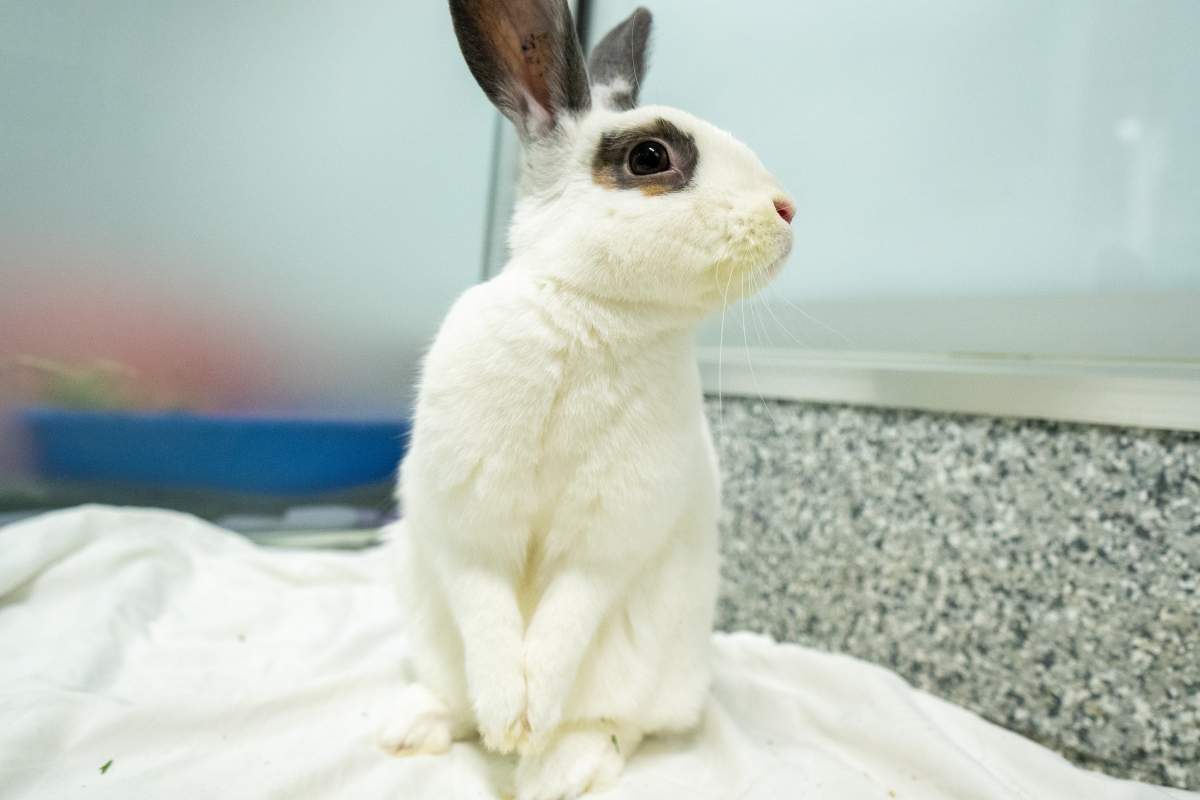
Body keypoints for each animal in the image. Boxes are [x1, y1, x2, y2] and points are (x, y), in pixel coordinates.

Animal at [380, 1, 794, 797]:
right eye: (650, 158)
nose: (788, 209)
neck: (591, 310)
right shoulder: (465, 522)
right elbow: (487, 610)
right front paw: (507, 719)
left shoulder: (608, 540)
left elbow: (566, 620)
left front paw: (528, 723)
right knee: (456, 699)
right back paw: (412, 730)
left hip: (658, 673)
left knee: (620, 724)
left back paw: (559, 768)